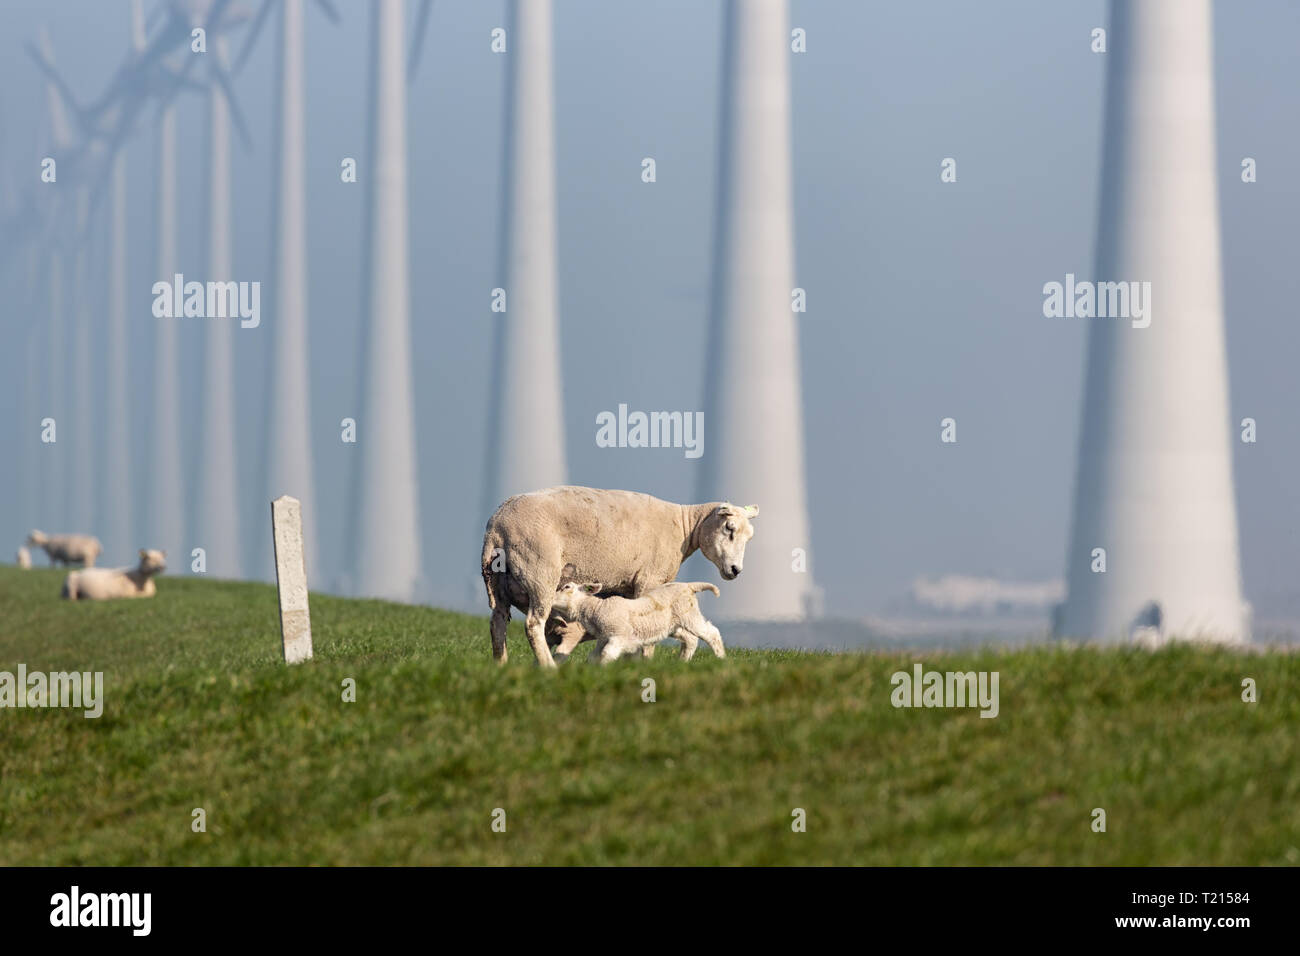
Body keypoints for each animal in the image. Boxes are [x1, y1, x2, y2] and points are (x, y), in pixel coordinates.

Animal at [548, 574, 728, 665]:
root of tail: (689, 586)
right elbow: (593, 656)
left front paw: (604, 669)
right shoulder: (604, 636)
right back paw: (682, 662)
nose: (550, 597)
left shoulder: (620, 636)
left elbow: (607, 653)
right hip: (674, 625)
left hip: (690, 615)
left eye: (567, 587)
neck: (597, 609)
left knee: (711, 633)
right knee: (690, 639)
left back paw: (721, 658)